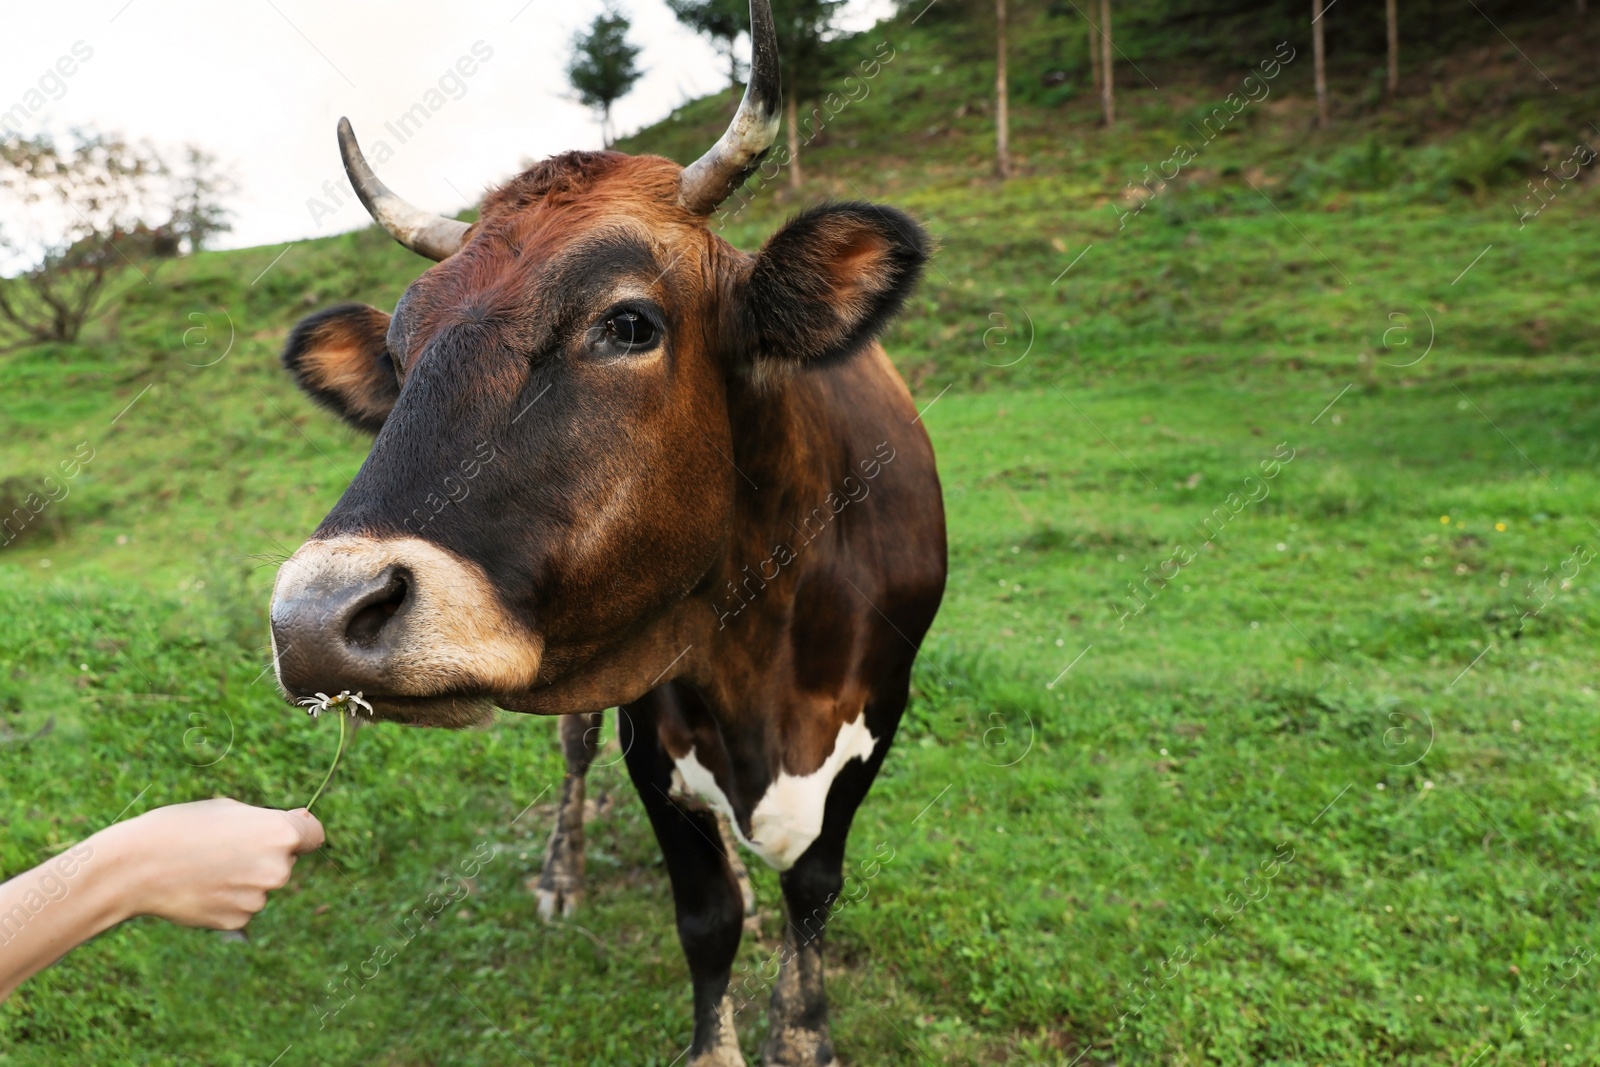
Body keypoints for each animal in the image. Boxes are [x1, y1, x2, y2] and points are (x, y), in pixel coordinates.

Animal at [272, 4, 947, 1062]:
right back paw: (563, 871)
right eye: (400, 353)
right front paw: (718, 1039)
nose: (313, 619)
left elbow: (814, 886)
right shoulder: (648, 722)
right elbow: (704, 916)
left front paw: (802, 1028)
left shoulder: (879, 711)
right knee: (573, 751)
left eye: (629, 323)